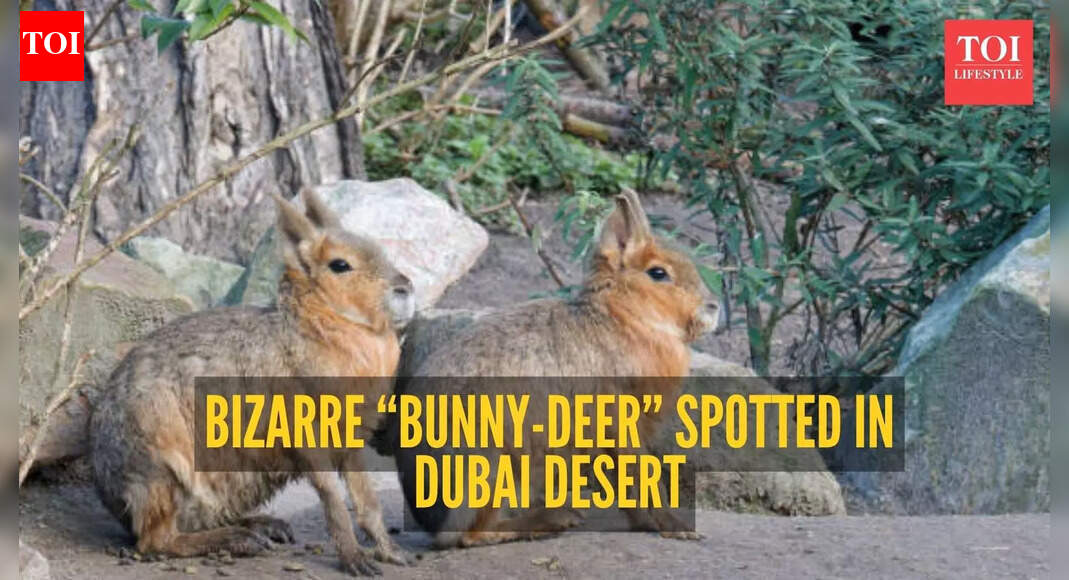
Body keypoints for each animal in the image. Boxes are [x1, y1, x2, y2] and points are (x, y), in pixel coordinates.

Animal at [90, 189, 415, 575]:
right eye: (340, 265)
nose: (405, 288)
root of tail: (112, 497)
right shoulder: (306, 434)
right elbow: (334, 500)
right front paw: (354, 559)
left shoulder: (351, 438)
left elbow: (367, 499)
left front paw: (391, 552)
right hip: (162, 467)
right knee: (156, 541)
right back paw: (239, 539)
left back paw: (262, 525)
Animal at [382, 189, 719, 548]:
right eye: (658, 273)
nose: (713, 307)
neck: (623, 316)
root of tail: (431, 521)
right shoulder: (620, 423)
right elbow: (644, 478)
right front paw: (679, 527)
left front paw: (645, 524)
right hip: (491, 472)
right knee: (473, 535)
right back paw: (553, 519)